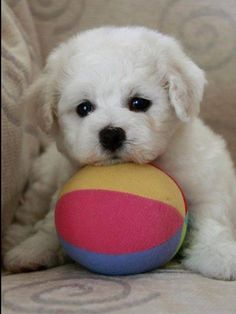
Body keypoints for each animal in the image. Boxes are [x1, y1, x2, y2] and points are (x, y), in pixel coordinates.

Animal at [3, 25, 236, 278]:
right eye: (84, 108)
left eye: (139, 103)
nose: (111, 135)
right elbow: (49, 224)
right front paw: (34, 249)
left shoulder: (204, 183)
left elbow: (211, 221)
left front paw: (221, 255)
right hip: (44, 176)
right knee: (29, 211)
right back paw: (15, 240)